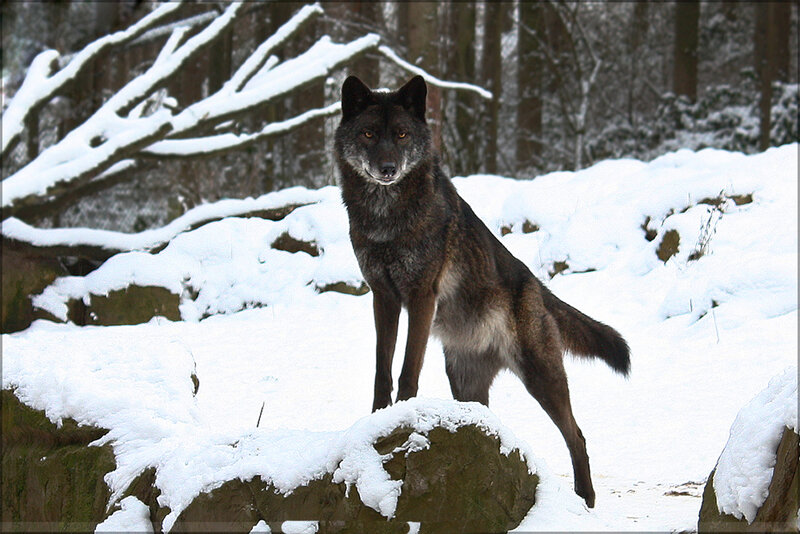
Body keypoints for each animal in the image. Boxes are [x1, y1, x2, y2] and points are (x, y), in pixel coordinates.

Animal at [334, 75, 630, 508]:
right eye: (369, 134)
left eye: (401, 134)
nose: (387, 169)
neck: (387, 218)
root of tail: (537, 287)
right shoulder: (383, 297)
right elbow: (382, 370)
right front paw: (377, 419)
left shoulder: (421, 297)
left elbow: (407, 371)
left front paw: (402, 417)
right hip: (465, 383)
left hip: (541, 377)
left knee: (577, 435)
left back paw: (585, 500)